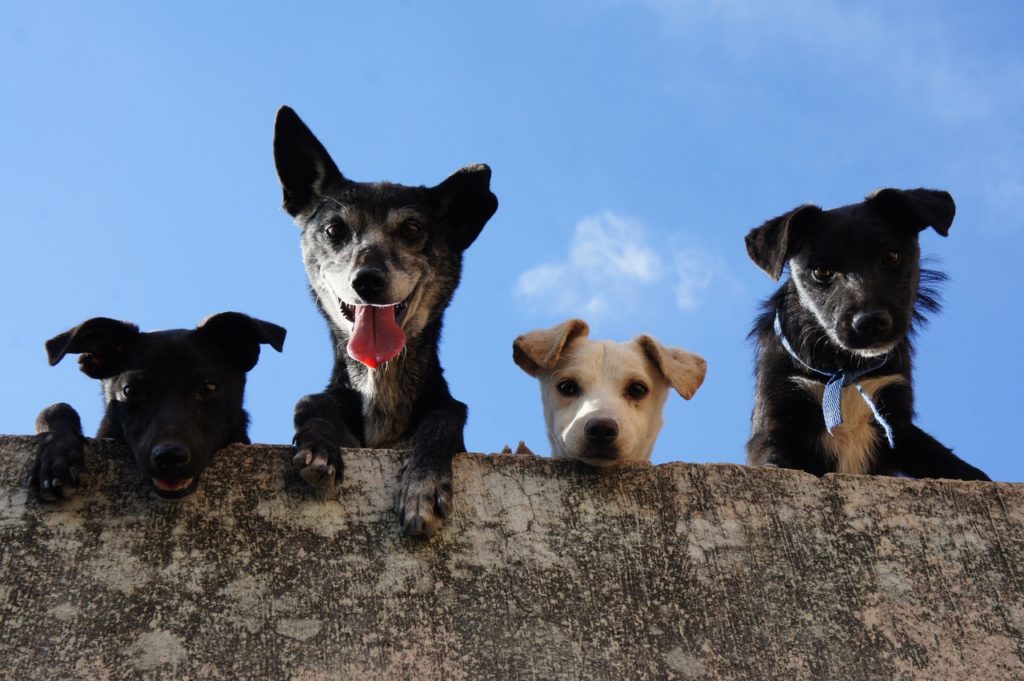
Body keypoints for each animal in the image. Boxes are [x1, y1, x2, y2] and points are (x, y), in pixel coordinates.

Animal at [270, 106, 497, 536]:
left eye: (411, 229)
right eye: (334, 229)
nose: (368, 280)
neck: (381, 387)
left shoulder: (446, 415)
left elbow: (443, 418)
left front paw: (423, 485)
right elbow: (309, 401)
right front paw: (319, 447)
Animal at [749, 188, 987, 481]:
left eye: (891, 256)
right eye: (822, 272)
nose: (870, 322)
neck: (844, 369)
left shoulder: (897, 423)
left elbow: (952, 464)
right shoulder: (775, 417)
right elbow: (772, 458)